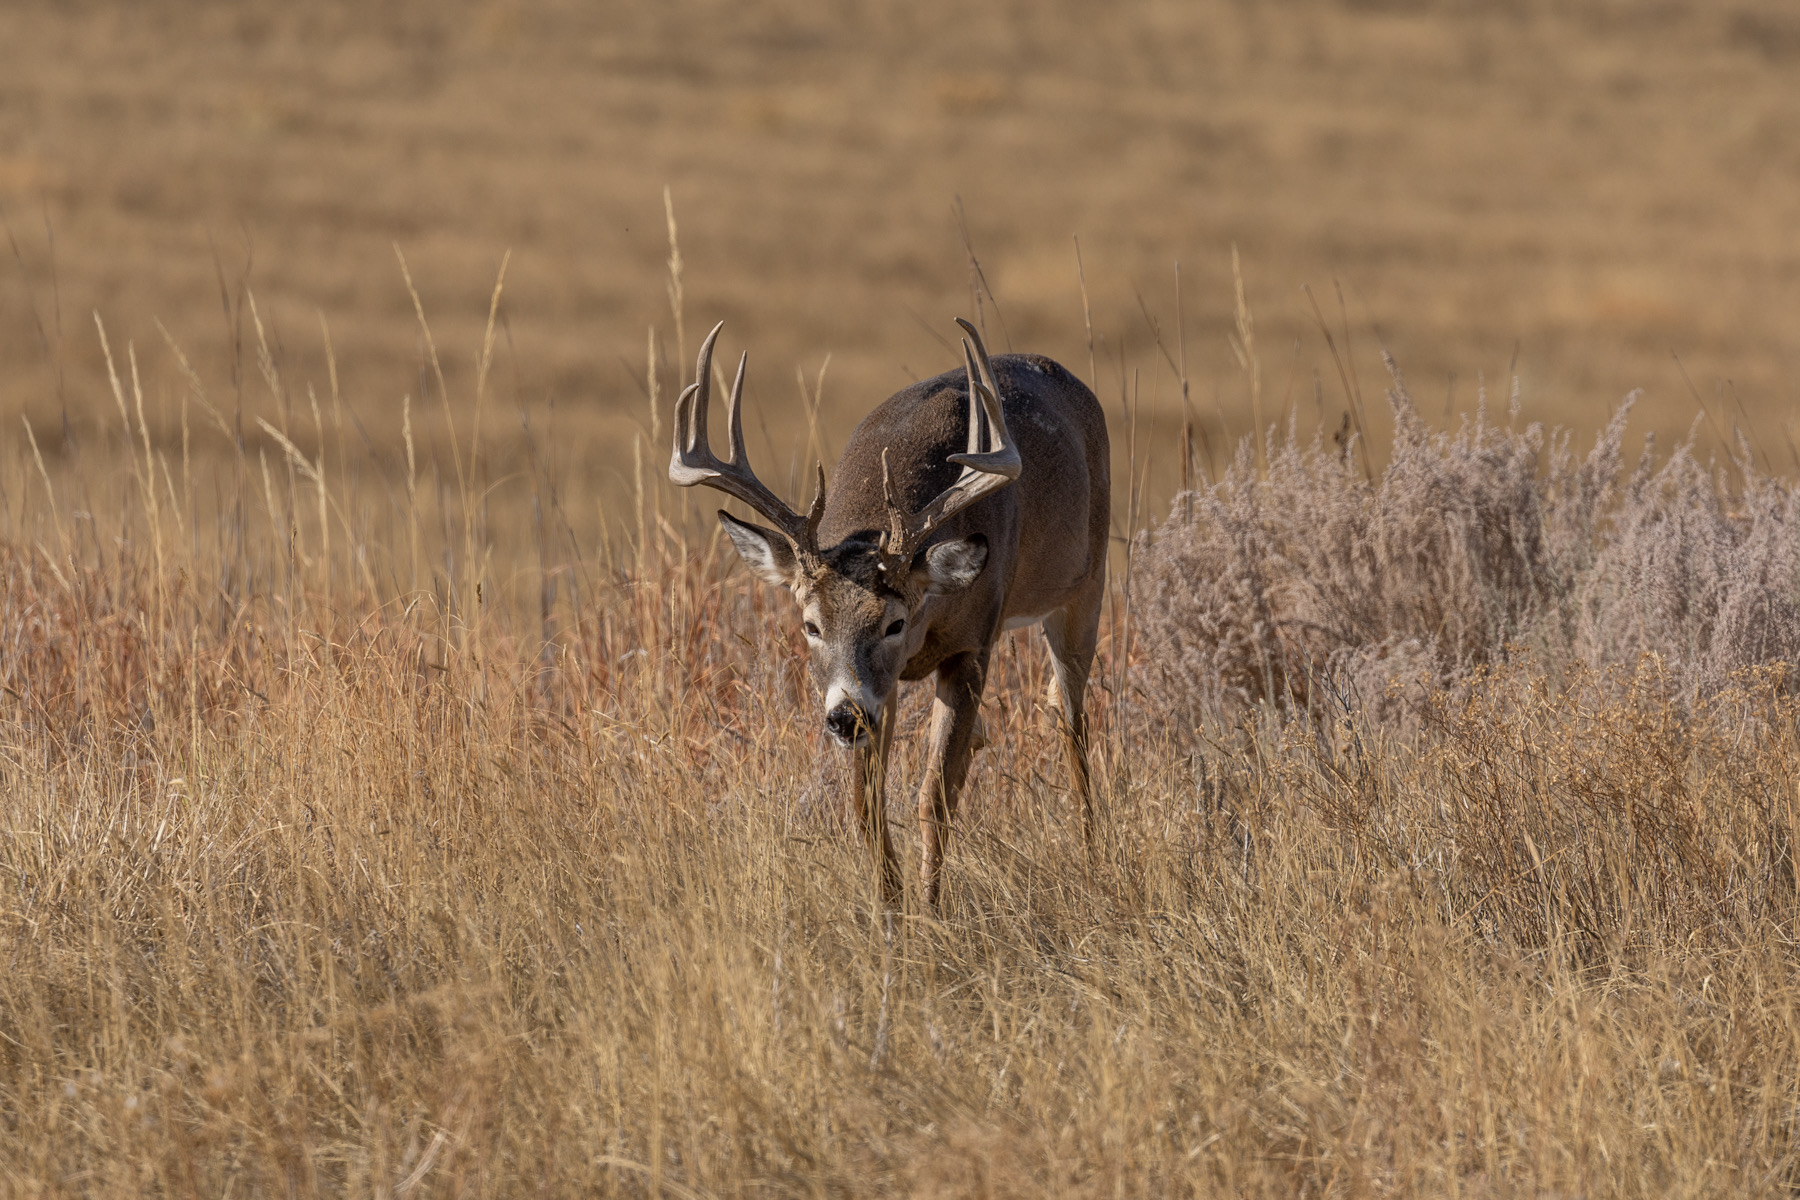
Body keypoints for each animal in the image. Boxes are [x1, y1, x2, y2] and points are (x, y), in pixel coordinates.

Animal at [669, 318, 1110, 909]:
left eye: (894, 623)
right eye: (810, 625)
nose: (842, 718)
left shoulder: (972, 646)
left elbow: (934, 797)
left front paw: (931, 912)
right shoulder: (879, 690)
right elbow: (866, 807)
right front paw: (890, 912)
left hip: (1085, 585)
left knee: (1071, 721)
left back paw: (1092, 856)